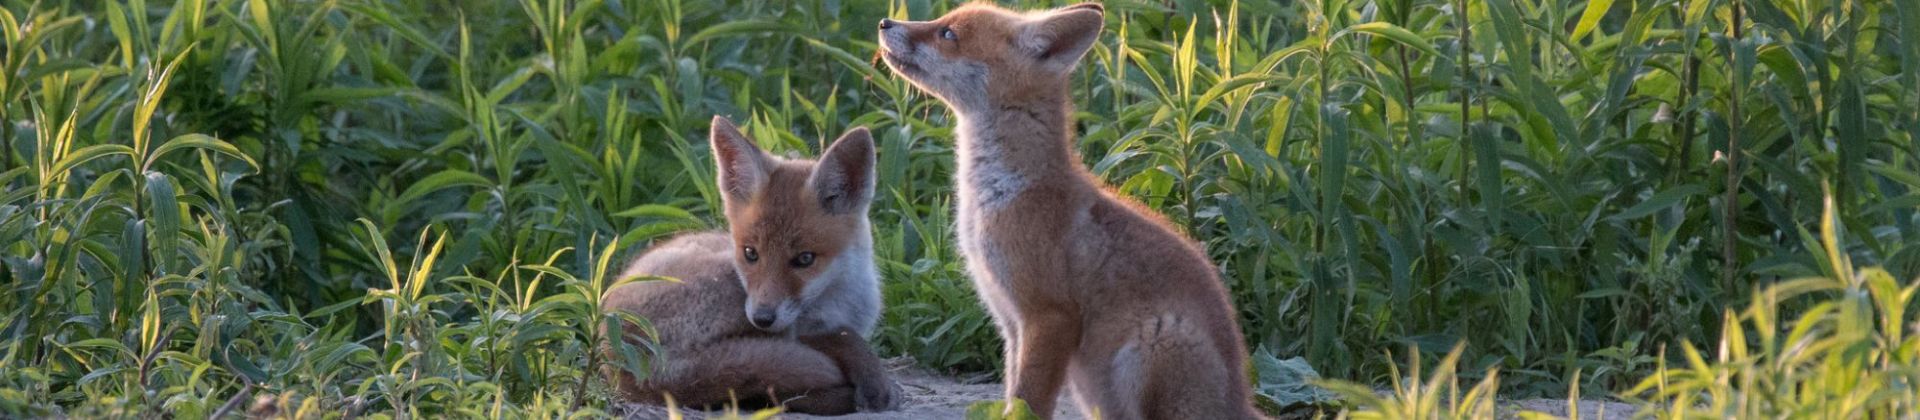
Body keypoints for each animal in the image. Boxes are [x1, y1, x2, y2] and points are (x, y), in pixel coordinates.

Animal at [600, 116, 900, 415]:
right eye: (750, 253)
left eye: (805, 259)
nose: (762, 318)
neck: (840, 299)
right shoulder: (797, 329)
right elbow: (842, 337)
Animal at [877, 3, 1265, 419]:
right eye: (942, 21)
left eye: (947, 34)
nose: (884, 21)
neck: (1001, 192)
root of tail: (1241, 399)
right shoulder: (1011, 322)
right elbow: (1013, 394)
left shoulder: (1050, 316)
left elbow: (1027, 402)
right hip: (1093, 390)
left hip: (1150, 349)